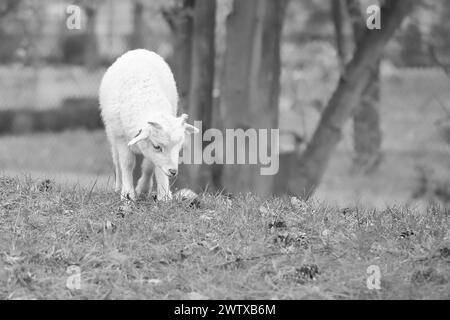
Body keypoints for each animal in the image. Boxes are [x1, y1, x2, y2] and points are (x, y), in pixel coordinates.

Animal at [100, 49, 199, 201]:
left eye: (179, 147)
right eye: (157, 146)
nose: (173, 171)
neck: (148, 102)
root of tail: (138, 51)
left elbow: (150, 166)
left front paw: (157, 193)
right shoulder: (121, 137)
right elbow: (127, 163)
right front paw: (128, 194)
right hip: (111, 133)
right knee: (117, 160)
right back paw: (118, 187)